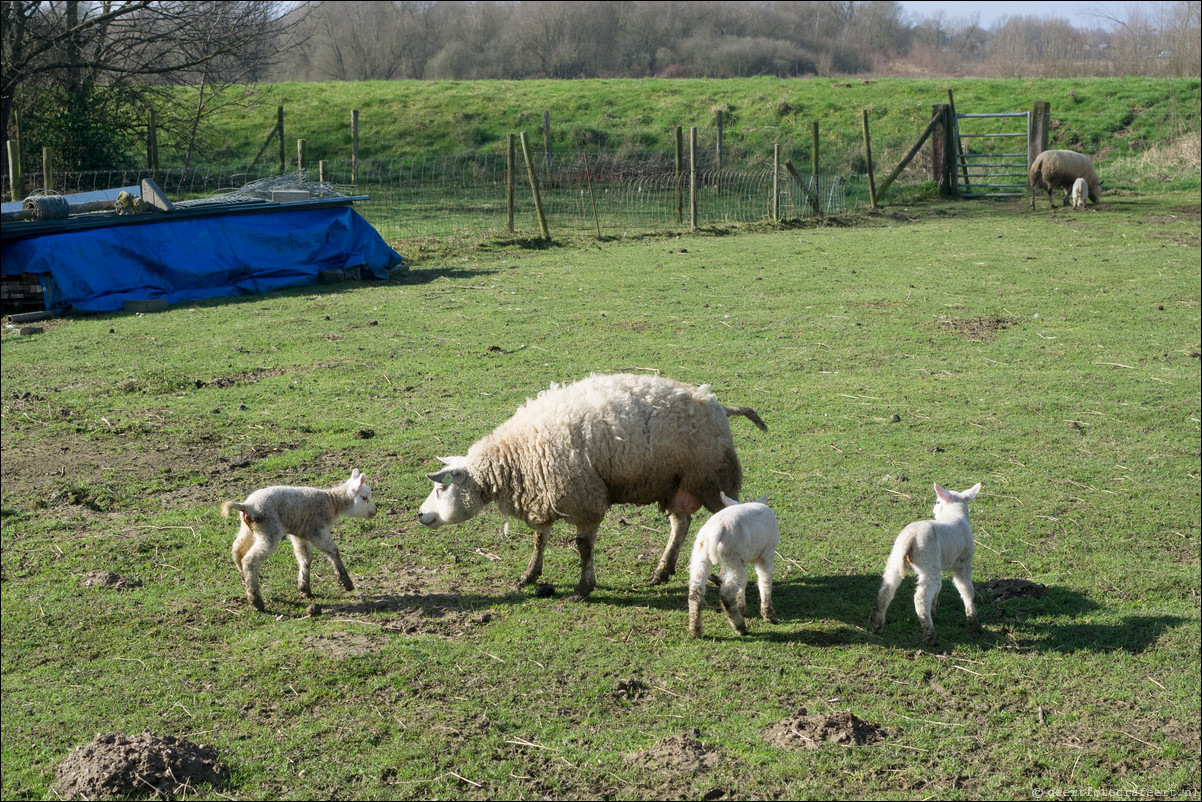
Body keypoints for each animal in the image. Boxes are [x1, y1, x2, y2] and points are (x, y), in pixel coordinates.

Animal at [223, 466, 375, 610]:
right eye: (364, 497)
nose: (375, 511)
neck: (331, 503)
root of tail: (247, 506)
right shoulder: (316, 530)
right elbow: (332, 550)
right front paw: (346, 582)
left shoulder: (300, 534)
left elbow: (305, 558)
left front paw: (304, 588)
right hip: (269, 529)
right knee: (250, 560)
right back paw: (256, 601)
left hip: (247, 528)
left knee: (237, 550)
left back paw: (244, 579)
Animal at [418, 372, 764, 598]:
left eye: (441, 488)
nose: (420, 514)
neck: (518, 454)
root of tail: (717, 404)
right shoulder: (544, 496)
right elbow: (538, 540)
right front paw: (529, 575)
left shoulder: (584, 500)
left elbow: (583, 547)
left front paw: (584, 588)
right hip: (677, 484)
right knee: (680, 524)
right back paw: (661, 571)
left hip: (714, 480)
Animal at [687, 490, 778, 639]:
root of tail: (716, 529)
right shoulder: (767, 553)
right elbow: (765, 581)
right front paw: (769, 615)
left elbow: (744, 581)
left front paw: (742, 606)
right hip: (734, 557)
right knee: (727, 595)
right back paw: (740, 627)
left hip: (700, 555)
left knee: (695, 592)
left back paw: (695, 630)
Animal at [870, 483, 980, 644]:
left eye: (937, 502)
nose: (934, 510)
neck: (955, 513)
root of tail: (911, 537)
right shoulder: (963, 563)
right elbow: (966, 590)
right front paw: (973, 620)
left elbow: (940, 587)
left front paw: (934, 610)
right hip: (928, 561)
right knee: (920, 598)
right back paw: (930, 635)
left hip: (896, 558)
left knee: (885, 591)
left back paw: (877, 626)